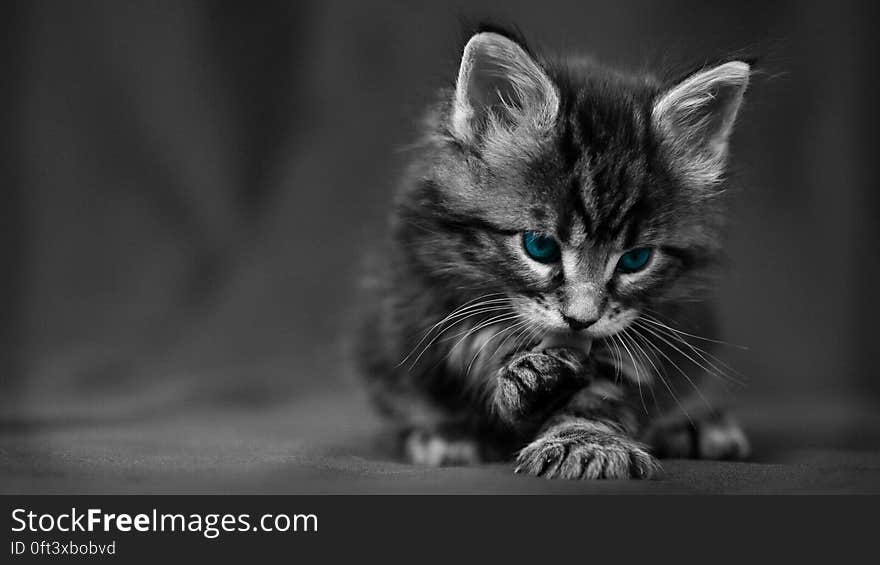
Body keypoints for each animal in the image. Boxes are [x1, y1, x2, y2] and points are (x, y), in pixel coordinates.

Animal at [356, 25, 748, 476]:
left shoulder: (660, 325)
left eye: (636, 260)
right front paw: (530, 376)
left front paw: (584, 441)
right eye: (539, 246)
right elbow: (476, 351)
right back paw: (445, 436)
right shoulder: (430, 293)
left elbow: (606, 391)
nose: (581, 320)